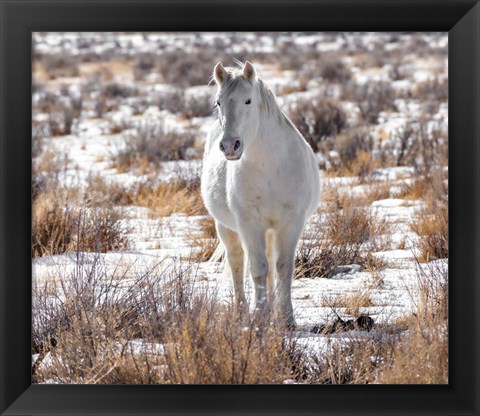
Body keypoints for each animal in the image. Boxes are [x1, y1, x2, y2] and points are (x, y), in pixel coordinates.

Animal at [201, 61, 320, 328]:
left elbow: (283, 267)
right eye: (218, 102)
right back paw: (242, 311)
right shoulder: (249, 223)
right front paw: (260, 317)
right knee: (237, 262)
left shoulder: (291, 223)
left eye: (248, 101)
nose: (230, 146)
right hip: (227, 228)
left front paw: (286, 319)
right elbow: (257, 268)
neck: (270, 167)